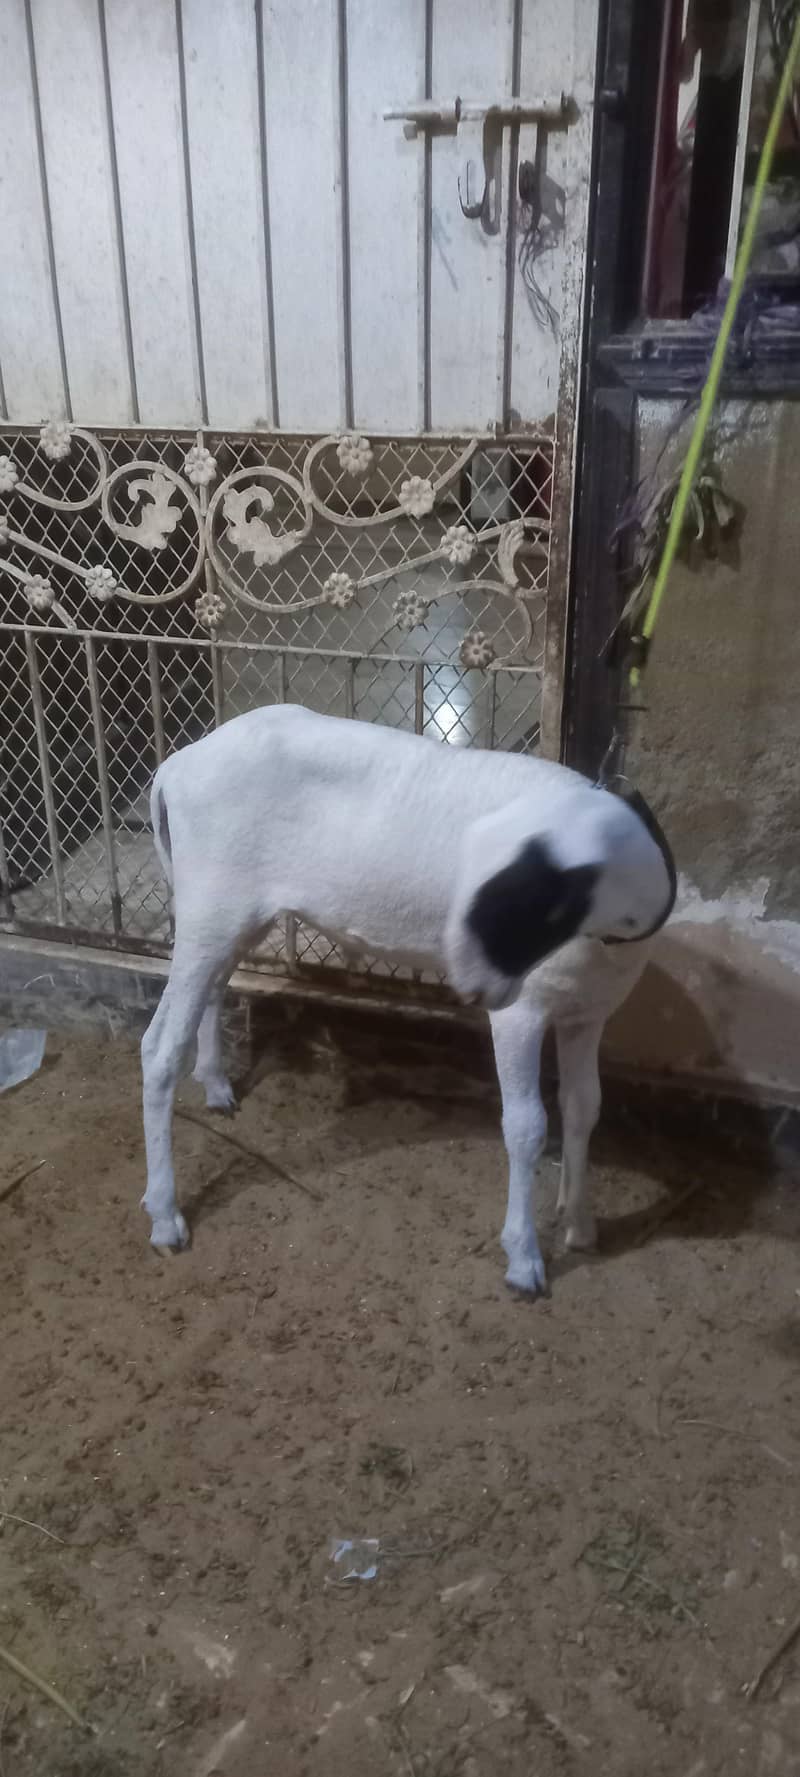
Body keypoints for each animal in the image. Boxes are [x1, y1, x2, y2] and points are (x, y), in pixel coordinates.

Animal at [141, 704, 675, 1294]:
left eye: (527, 901)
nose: (472, 986)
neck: (607, 936)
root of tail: (177, 766)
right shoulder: (522, 1011)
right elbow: (526, 1126)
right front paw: (524, 1260)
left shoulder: (588, 1011)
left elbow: (584, 1106)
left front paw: (580, 1224)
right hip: (211, 898)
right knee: (159, 1048)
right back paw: (165, 1216)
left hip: (234, 912)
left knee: (213, 987)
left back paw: (216, 1086)